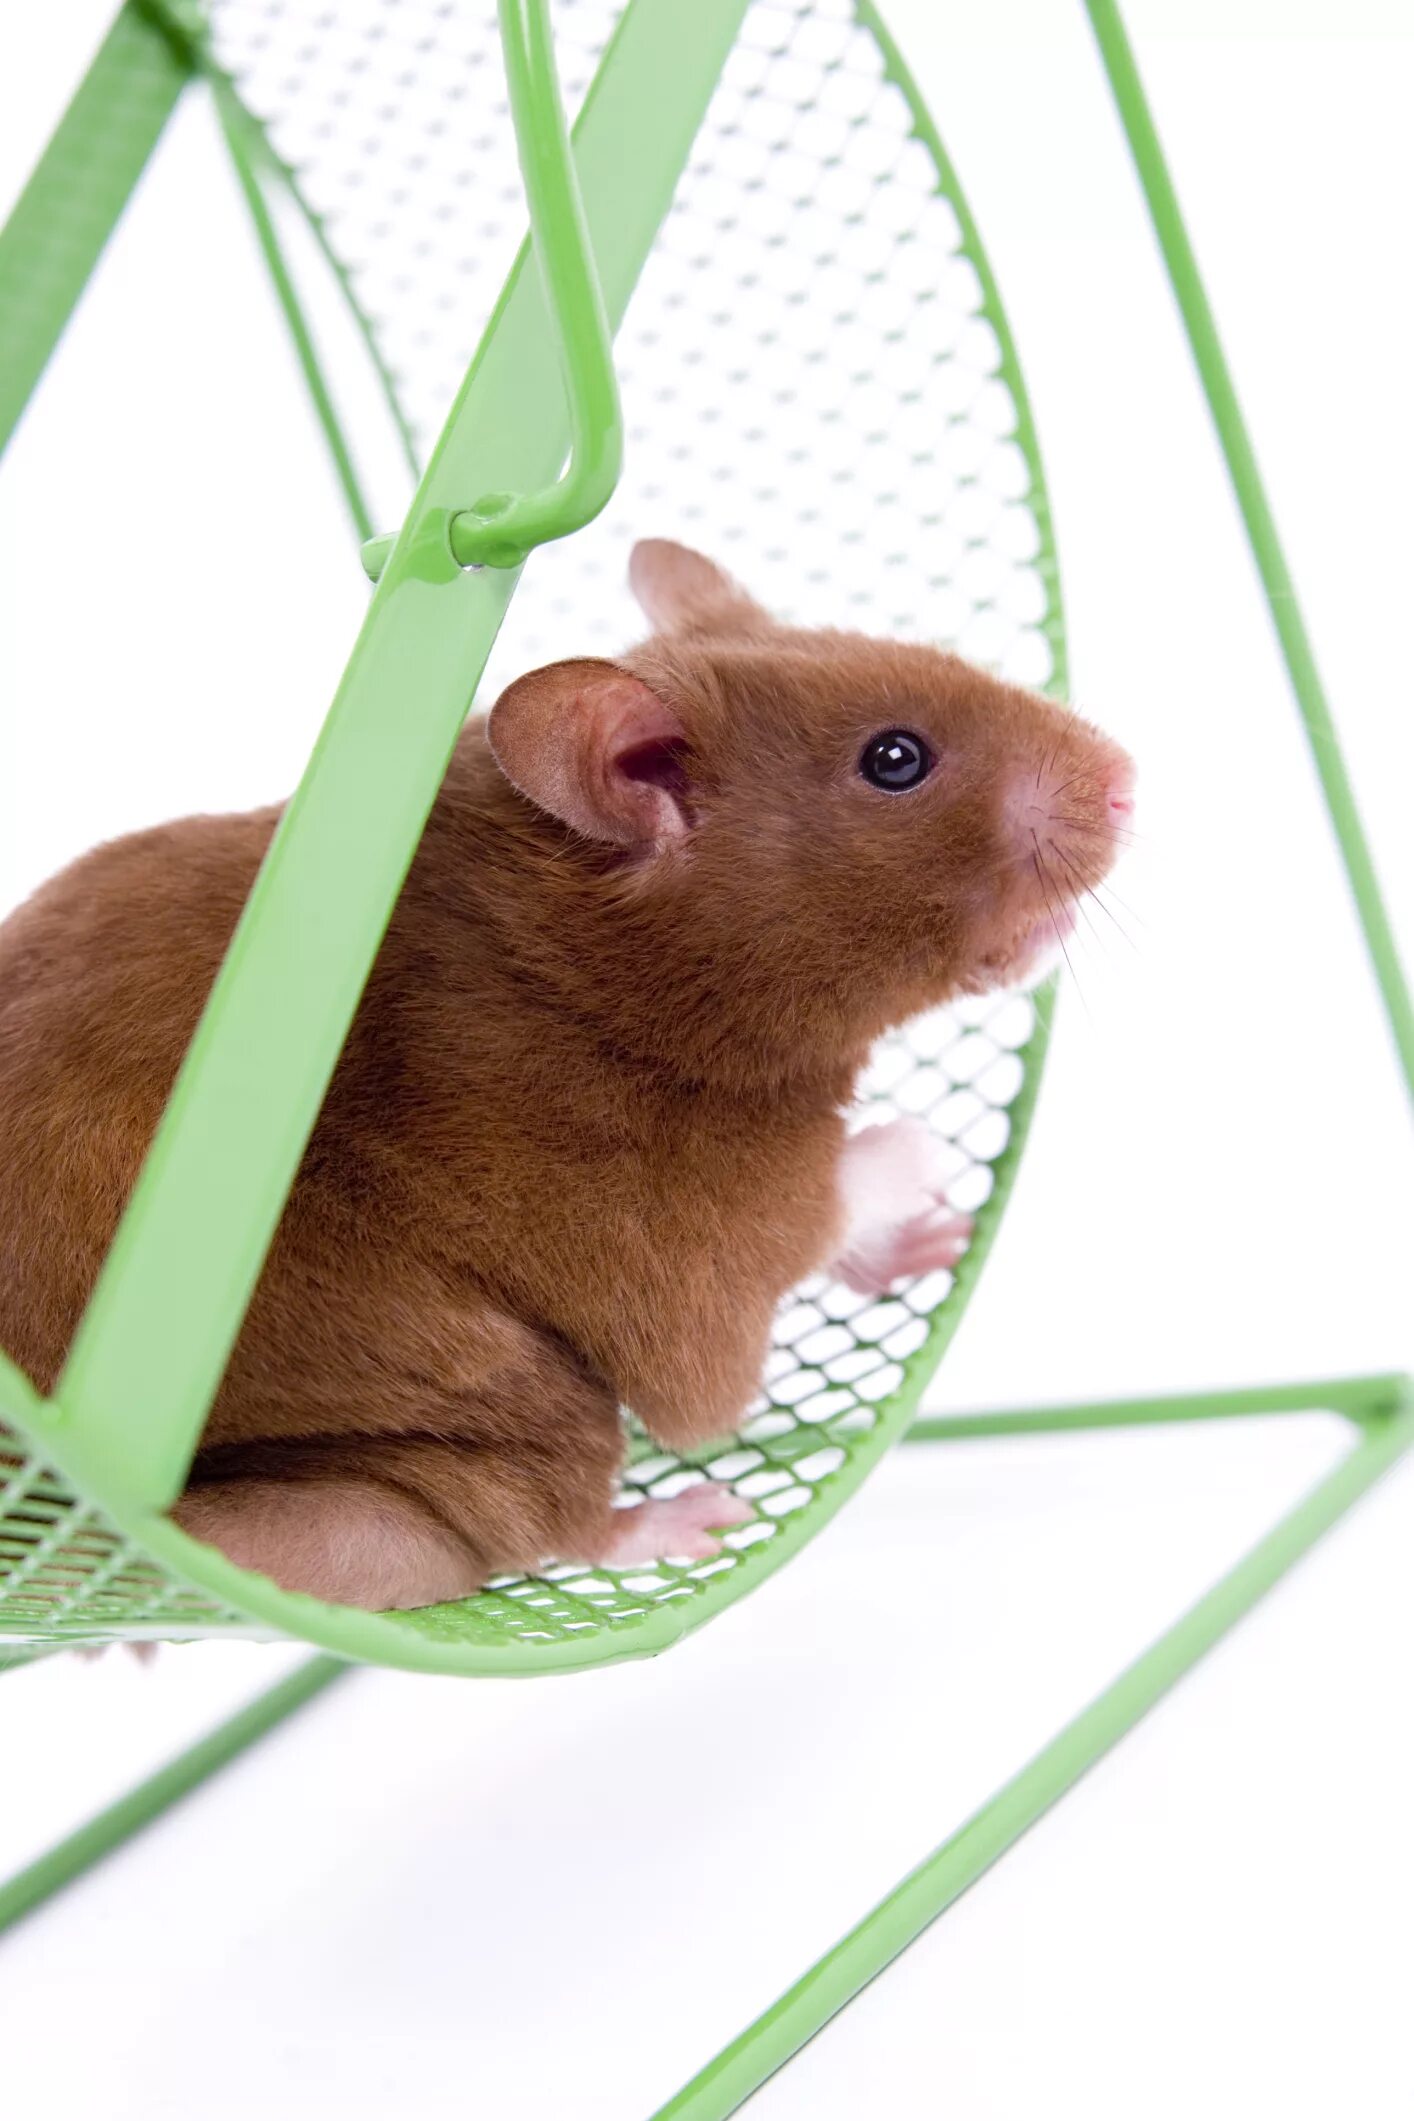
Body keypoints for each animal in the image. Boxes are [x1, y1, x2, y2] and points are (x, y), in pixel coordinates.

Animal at [0, 541, 1134, 1608]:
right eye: (895, 759)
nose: (1128, 776)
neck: (586, 965)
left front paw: (942, 1236)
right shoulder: (675, 1242)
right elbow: (812, 1217)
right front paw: (925, 1155)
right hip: (508, 1396)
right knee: (543, 1527)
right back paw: (693, 1519)